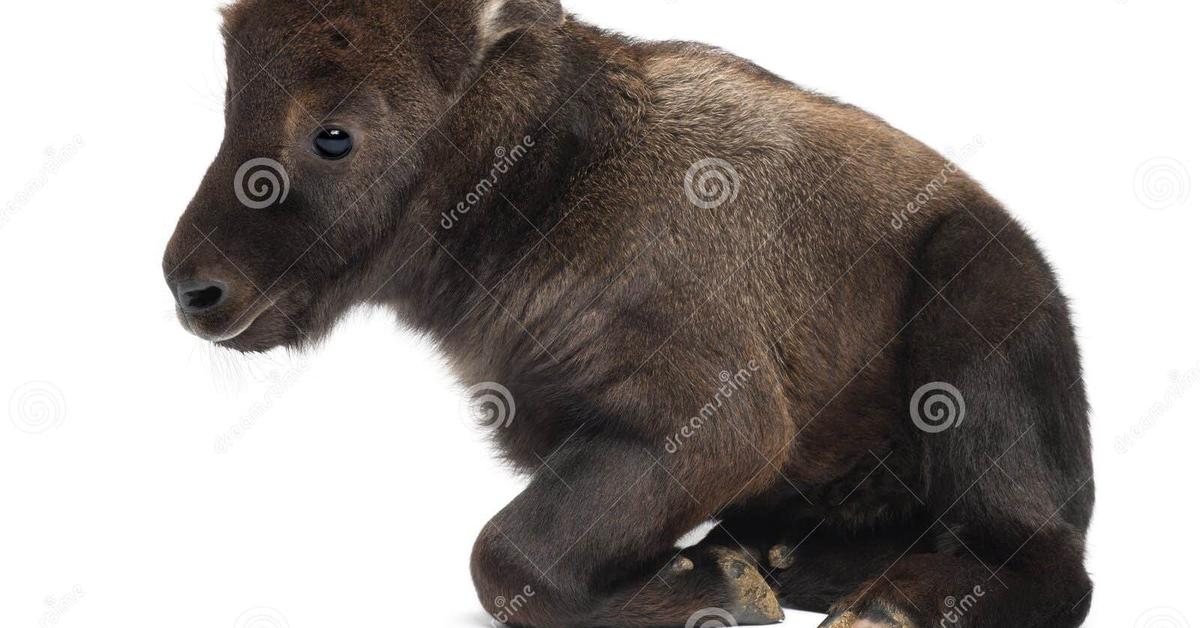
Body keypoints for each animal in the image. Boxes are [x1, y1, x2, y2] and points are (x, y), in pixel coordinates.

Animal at [164, 1, 1094, 628]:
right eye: (230, 110)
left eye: (334, 133)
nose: (192, 285)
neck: (550, 176)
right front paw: (728, 575)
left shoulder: (717, 417)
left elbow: (501, 554)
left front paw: (721, 591)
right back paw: (788, 560)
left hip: (975, 320)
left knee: (1048, 556)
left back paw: (875, 606)